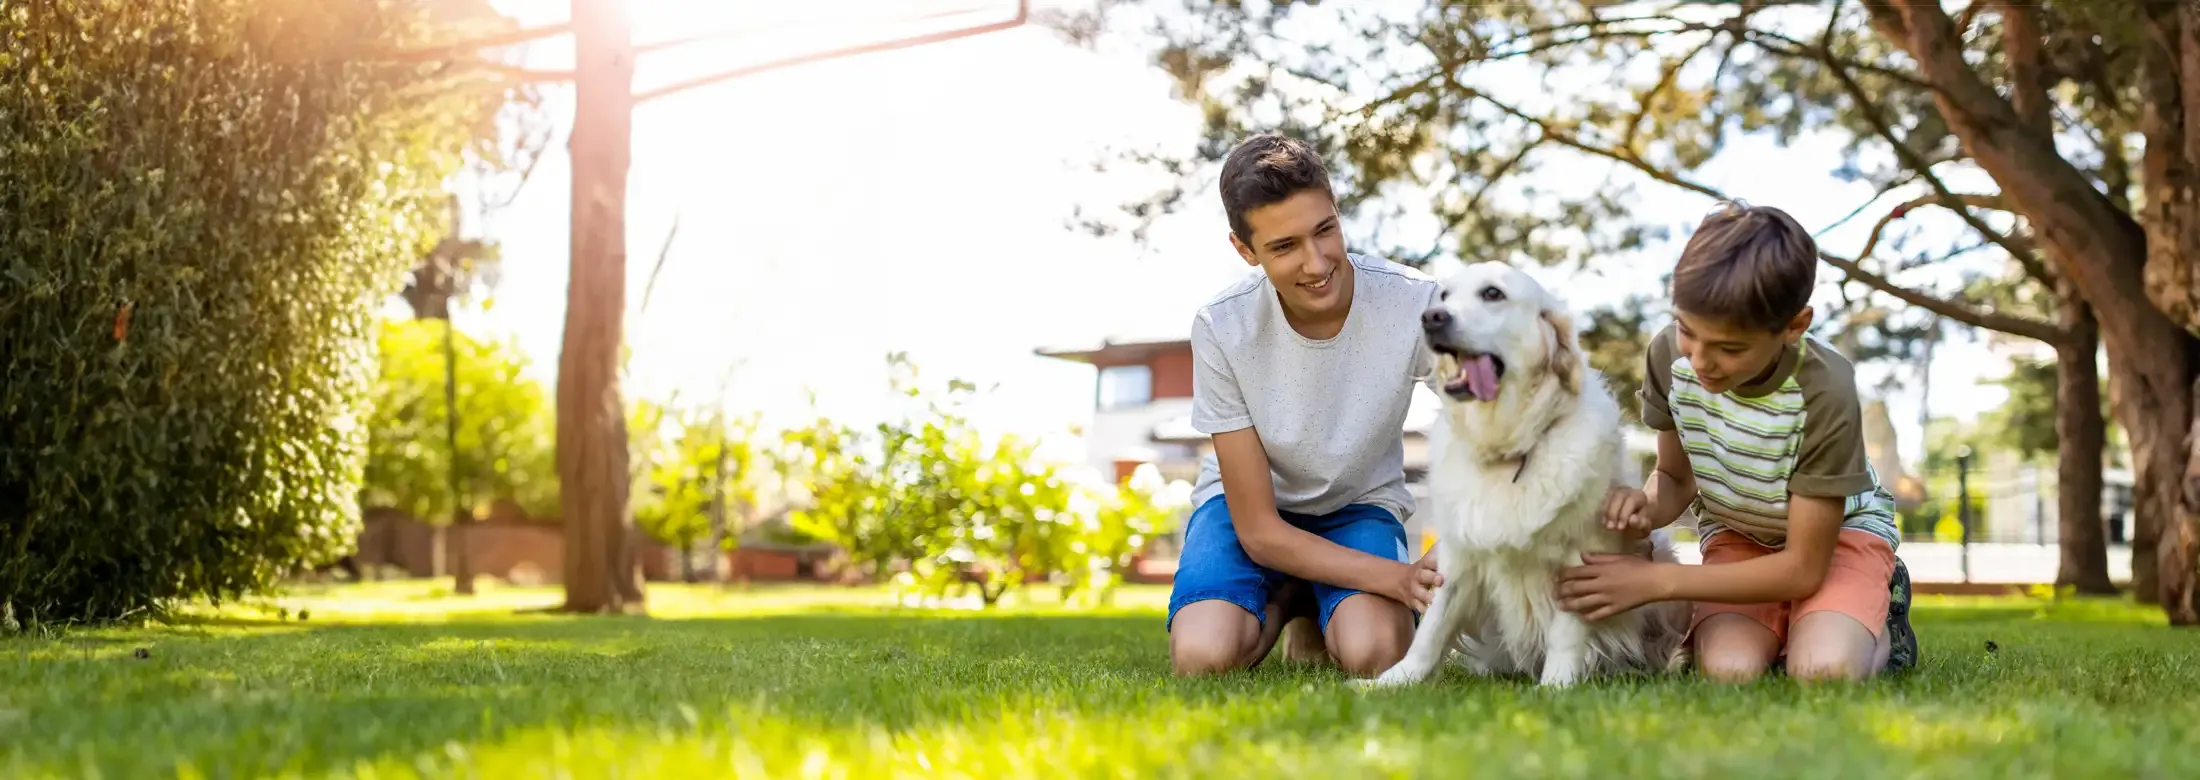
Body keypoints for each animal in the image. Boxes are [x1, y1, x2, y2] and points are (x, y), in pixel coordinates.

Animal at [1355, 264, 1698, 689]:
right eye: (1445, 296)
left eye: (1492, 294)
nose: (1431, 318)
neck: (1510, 447)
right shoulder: (1459, 555)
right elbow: (1432, 628)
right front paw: (1391, 681)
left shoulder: (1581, 558)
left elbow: (1566, 632)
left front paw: (1556, 686)